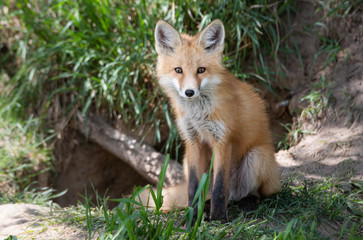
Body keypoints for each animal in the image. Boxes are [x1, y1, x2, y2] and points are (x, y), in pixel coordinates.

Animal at [140, 19, 282, 223]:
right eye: (178, 70)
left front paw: (219, 218)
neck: (199, 114)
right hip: (188, 161)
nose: (189, 92)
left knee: (257, 193)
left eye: (201, 70)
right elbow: (192, 187)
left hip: (257, 157)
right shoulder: (192, 141)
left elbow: (220, 187)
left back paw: (247, 202)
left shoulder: (222, 139)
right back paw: (205, 207)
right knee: (210, 191)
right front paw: (192, 217)